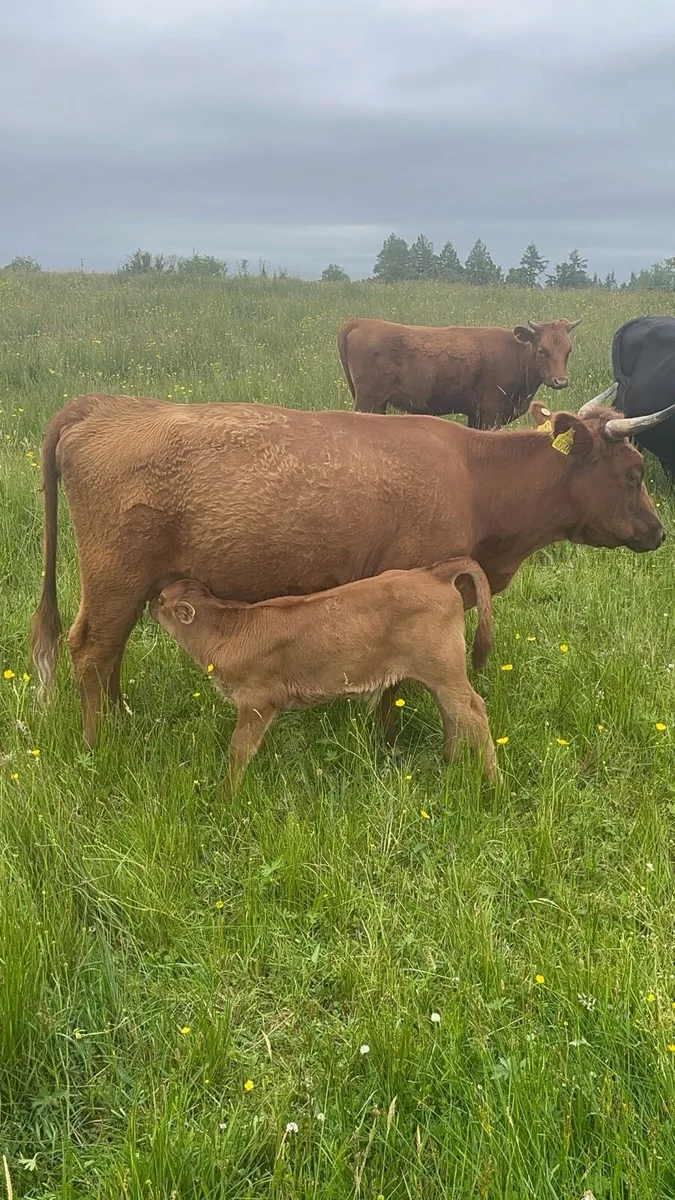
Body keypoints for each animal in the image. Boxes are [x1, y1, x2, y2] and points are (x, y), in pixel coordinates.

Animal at [29, 390, 673, 747]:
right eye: (633, 473)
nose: (658, 532)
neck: (475, 478)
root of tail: (100, 407)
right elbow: (397, 684)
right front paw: (388, 745)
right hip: (114, 577)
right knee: (91, 649)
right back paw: (101, 745)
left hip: (136, 584)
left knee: (110, 653)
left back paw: (121, 722)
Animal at [149, 559, 497, 792]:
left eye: (163, 599)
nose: (151, 602)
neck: (227, 628)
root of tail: (432, 573)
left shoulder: (256, 701)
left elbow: (239, 750)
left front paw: (227, 795)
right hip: (439, 675)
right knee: (451, 714)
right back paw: (448, 763)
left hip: (445, 670)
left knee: (474, 712)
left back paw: (494, 783)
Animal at [337, 316, 582, 427]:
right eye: (542, 351)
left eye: (568, 350)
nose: (560, 381)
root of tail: (361, 322)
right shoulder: (491, 412)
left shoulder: (475, 414)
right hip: (368, 401)